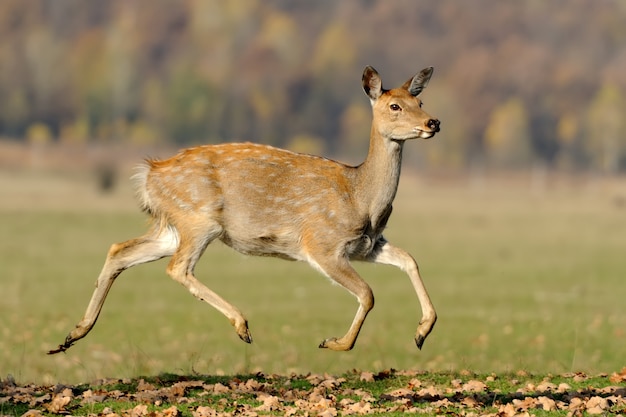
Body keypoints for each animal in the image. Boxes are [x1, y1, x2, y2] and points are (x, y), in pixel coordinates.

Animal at [48, 65, 438, 354]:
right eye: (395, 106)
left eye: (419, 100)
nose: (433, 122)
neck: (361, 197)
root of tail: (148, 174)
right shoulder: (322, 244)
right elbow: (368, 294)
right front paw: (336, 343)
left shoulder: (367, 245)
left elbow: (410, 260)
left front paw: (422, 331)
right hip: (199, 218)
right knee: (177, 268)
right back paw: (242, 325)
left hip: (171, 226)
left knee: (120, 249)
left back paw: (73, 334)